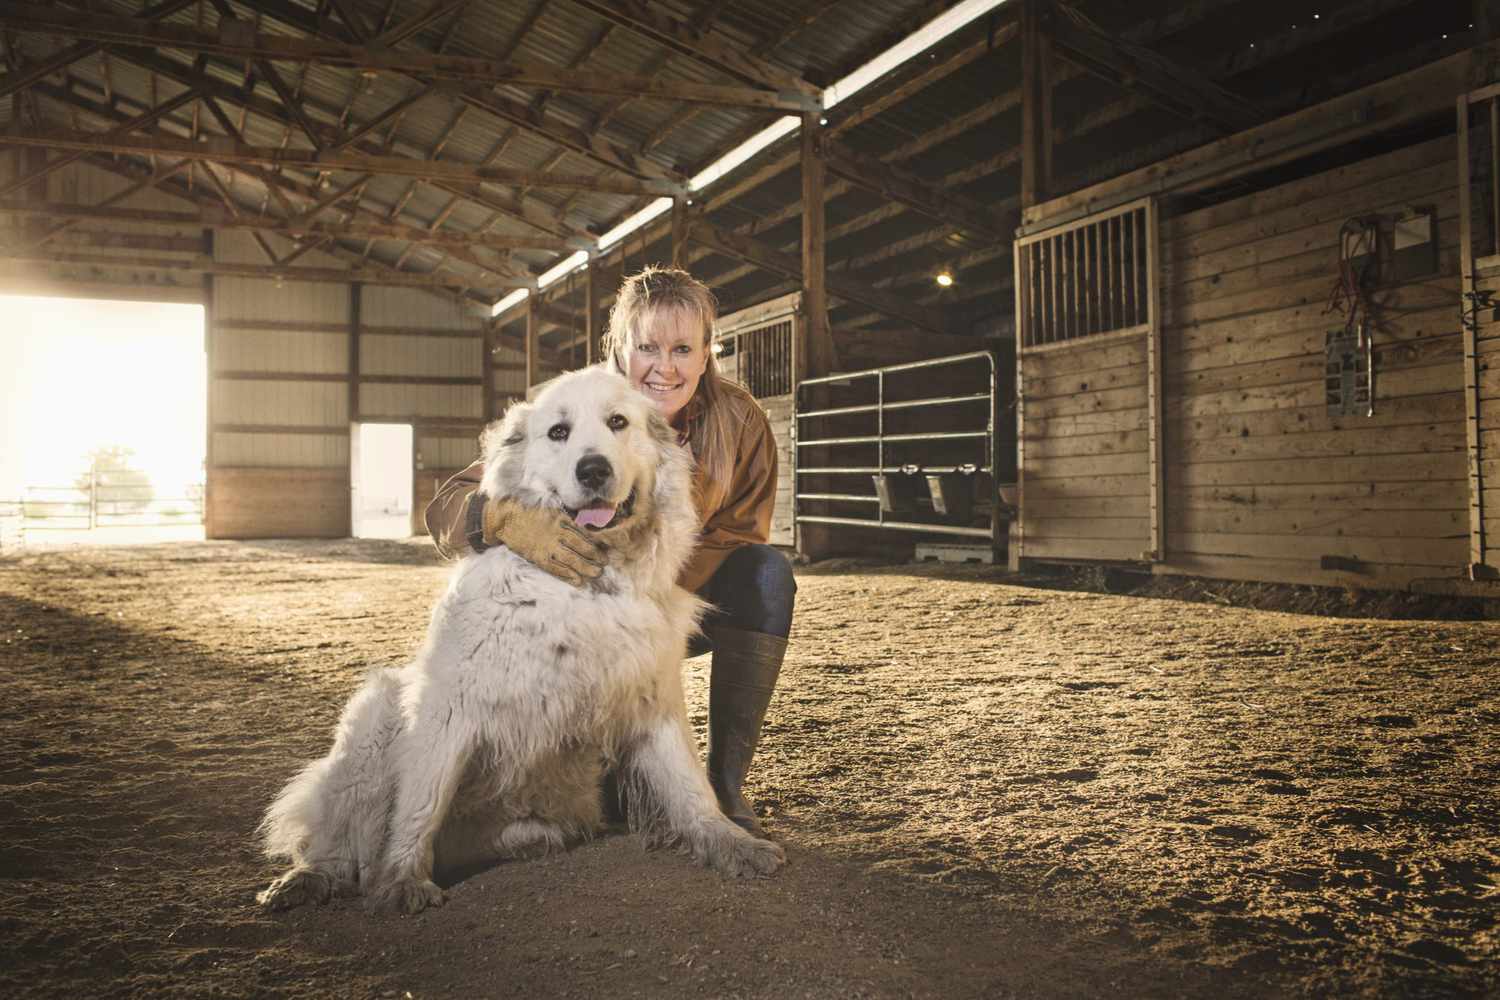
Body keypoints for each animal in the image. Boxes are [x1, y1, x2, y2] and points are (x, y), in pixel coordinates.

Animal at [258, 367, 786, 917]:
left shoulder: (651, 696)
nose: (592, 470)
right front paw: (402, 879)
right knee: (341, 839)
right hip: (374, 716)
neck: (588, 587)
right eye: (558, 432)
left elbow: (690, 785)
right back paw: (307, 878)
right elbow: (420, 802)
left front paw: (730, 842)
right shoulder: (449, 709)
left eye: (618, 422)